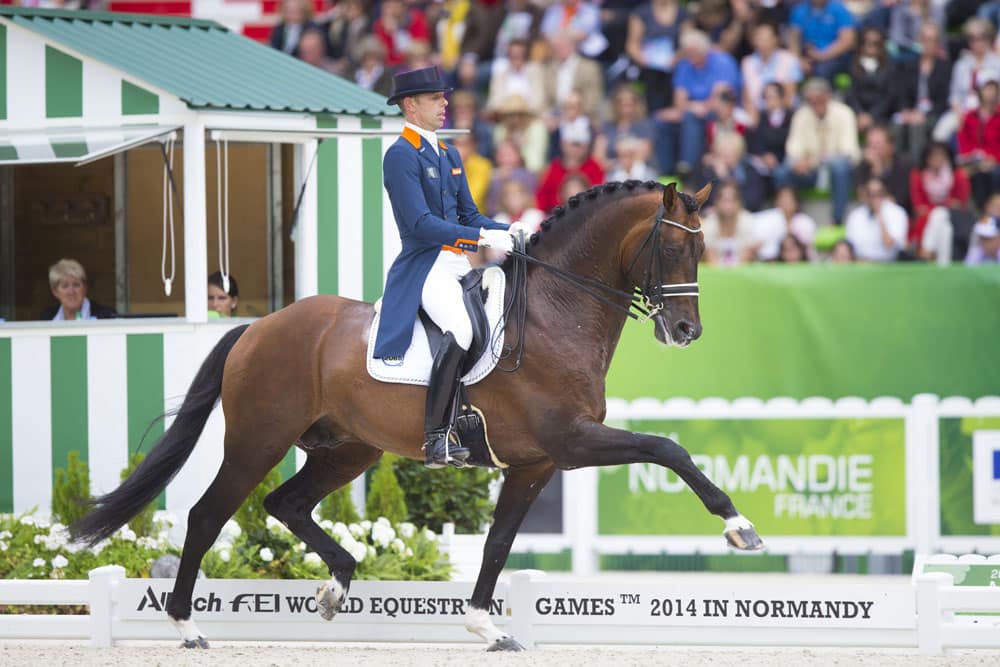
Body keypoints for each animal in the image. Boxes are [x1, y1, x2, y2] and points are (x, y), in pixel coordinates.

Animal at [70, 180, 760, 648]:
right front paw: (739, 527)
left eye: (702, 249)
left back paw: (336, 585)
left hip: (350, 449)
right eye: (668, 247)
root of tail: (260, 326)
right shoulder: (570, 440)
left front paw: (485, 626)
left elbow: (499, 542)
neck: (556, 313)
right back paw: (187, 625)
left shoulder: (535, 463)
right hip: (257, 441)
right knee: (209, 515)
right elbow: (667, 448)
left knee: (285, 504)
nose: (686, 331)